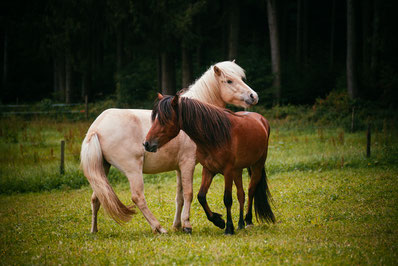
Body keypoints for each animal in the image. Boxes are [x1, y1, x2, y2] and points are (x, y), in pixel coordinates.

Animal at [81, 60, 258, 233]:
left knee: (97, 197)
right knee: (138, 197)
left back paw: (94, 230)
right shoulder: (187, 164)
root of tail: (96, 128)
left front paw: (177, 225)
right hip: (133, 170)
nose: (253, 96)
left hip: (103, 168)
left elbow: (179, 197)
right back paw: (159, 228)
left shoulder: (179, 168)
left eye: (240, 78)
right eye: (229, 80)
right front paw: (187, 225)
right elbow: (189, 193)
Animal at [145, 94, 276, 235]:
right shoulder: (208, 170)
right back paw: (241, 223)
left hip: (257, 166)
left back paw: (248, 221)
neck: (215, 136)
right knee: (241, 194)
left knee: (251, 190)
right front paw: (218, 221)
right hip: (238, 170)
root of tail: (261, 120)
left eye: (164, 120)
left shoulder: (227, 171)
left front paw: (229, 228)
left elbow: (227, 199)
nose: (147, 143)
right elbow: (201, 196)